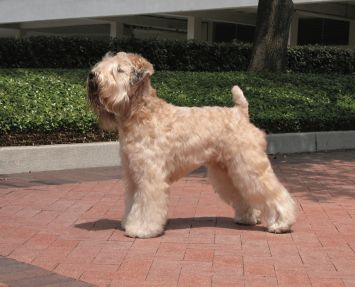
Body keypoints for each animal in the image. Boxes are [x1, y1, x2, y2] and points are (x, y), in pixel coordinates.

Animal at [87, 51, 296, 238]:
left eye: (119, 69)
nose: (92, 75)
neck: (141, 113)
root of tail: (241, 113)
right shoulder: (132, 175)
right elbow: (132, 202)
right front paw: (128, 222)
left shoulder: (150, 176)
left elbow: (146, 205)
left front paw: (141, 229)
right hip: (227, 171)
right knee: (243, 194)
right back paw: (247, 218)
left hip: (249, 166)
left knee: (275, 193)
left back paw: (281, 223)